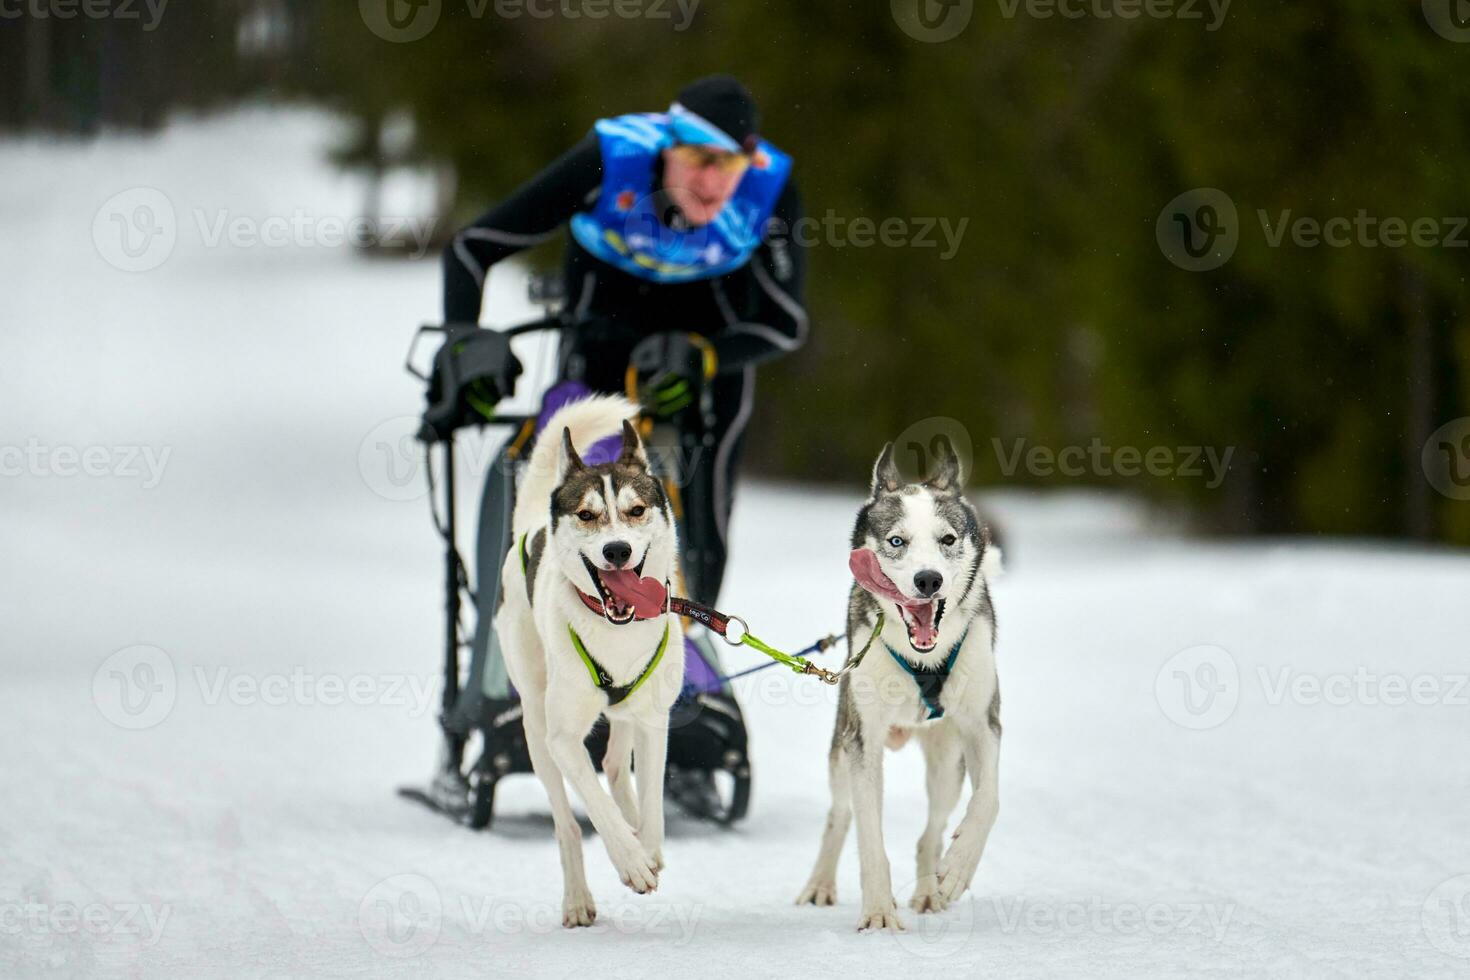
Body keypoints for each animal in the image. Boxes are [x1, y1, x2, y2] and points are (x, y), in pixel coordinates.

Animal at [496, 396, 685, 928]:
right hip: (536, 729)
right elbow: (595, 804)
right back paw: (578, 898)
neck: (615, 631)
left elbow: (654, 799)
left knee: (617, 766)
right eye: (586, 515)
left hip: (625, 714)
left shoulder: (654, 719)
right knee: (568, 825)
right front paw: (631, 860)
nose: (616, 550)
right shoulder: (562, 738)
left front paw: (648, 846)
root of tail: (529, 527)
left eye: (636, 511)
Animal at [799, 440, 1005, 934]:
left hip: (947, 764)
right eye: (897, 541)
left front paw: (959, 866)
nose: (928, 580)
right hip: (843, 752)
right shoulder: (863, 740)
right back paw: (820, 883)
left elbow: (988, 800)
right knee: (840, 814)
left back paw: (932, 889)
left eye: (947, 539)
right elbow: (870, 836)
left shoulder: (982, 724)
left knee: (931, 831)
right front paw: (877, 910)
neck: (924, 658)